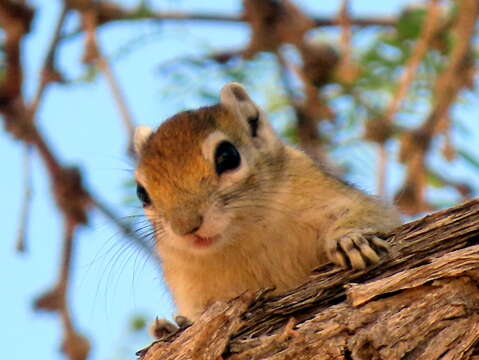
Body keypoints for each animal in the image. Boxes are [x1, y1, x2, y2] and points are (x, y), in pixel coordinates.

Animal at [133, 83, 404, 328]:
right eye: (141, 193)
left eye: (228, 156)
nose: (186, 227)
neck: (246, 234)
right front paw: (175, 325)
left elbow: (371, 213)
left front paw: (351, 241)